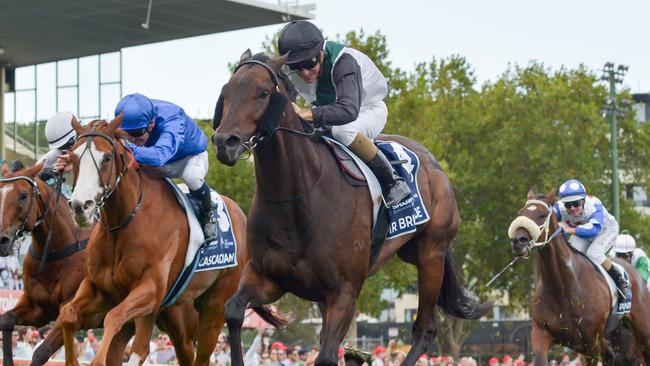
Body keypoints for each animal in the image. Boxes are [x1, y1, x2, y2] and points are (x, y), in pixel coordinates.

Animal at [0, 162, 199, 364]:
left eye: (24, 195)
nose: (3, 240)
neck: (56, 252)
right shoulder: (39, 307)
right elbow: (6, 319)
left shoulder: (78, 312)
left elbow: (41, 352)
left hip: (181, 327)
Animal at [61, 118, 284, 366]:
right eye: (73, 157)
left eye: (107, 158)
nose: (80, 206)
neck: (125, 223)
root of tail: (241, 215)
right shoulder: (100, 288)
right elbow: (68, 315)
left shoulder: (150, 289)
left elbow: (114, 317)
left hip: (214, 306)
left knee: (199, 354)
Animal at [213, 51, 492, 366]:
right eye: (226, 92)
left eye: (262, 92)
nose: (224, 142)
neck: (297, 199)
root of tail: (436, 166)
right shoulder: (268, 277)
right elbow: (234, 311)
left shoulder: (343, 292)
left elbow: (325, 356)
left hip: (431, 254)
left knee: (425, 329)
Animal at [506, 190, 648, 364]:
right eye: (521, 213)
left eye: (542, 215)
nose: (518, 241)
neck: (562, 286)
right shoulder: (541, 333)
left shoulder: (590, 345)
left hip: (643, 330)